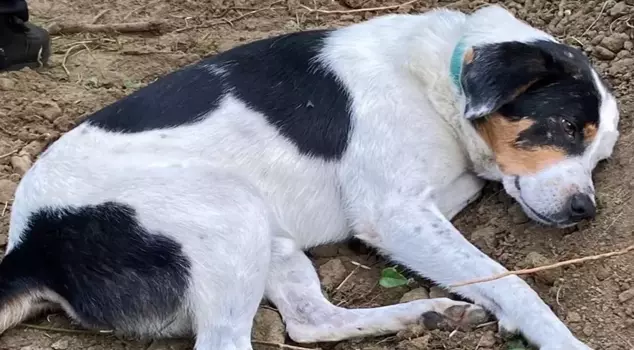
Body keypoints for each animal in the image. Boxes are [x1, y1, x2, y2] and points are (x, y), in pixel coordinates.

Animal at [0, 4, 616, 350]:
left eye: (602, 158)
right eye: (567, 126)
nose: (586, 212)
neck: (440, 75)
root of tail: (28, 249)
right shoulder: (395, 215)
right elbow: (511, 282)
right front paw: (561, 340)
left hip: (269, 239)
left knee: (308, 322)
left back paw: (427, 314)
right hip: (230, 210)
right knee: (228, 343)